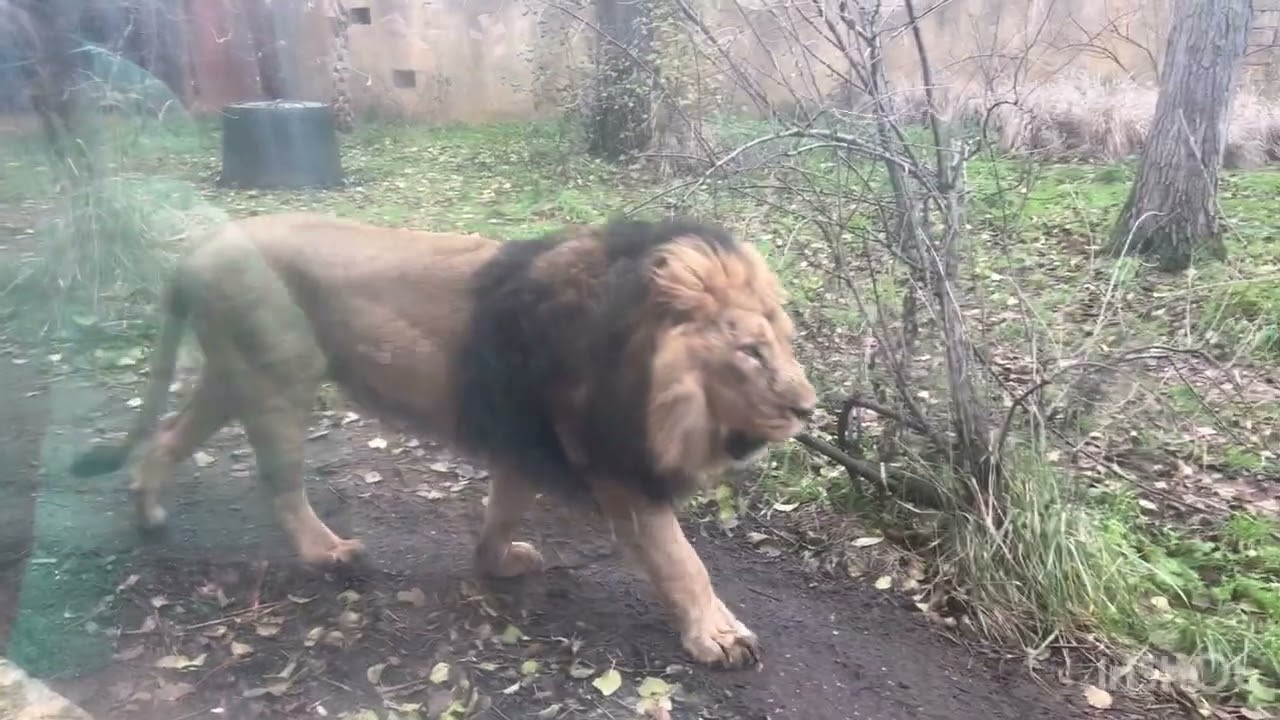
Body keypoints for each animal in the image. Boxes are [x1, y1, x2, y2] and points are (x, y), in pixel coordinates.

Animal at [68, 211, 818, 668]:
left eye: (786, 343)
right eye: (750, 352)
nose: (809, 409)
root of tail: (196, 252)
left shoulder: (526, 439)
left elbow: (504, 509)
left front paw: (497, 563)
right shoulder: (617, 469)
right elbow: (681, 560)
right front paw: (718, 637)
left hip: (233, 375)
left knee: (167, 436)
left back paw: (148, 510)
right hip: (279, 376)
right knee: (278, 481)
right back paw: (328, 553)